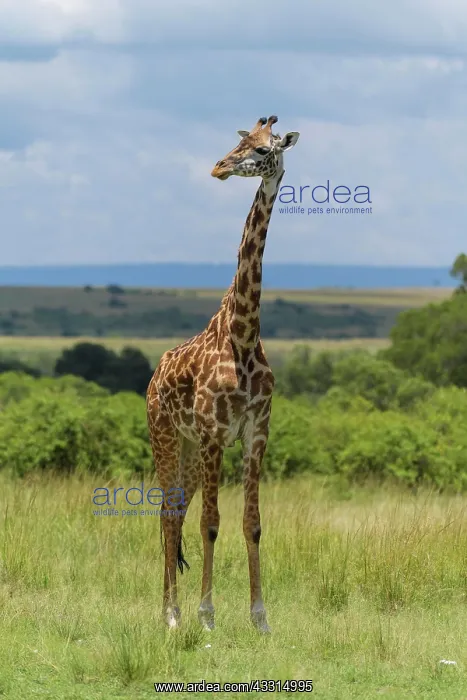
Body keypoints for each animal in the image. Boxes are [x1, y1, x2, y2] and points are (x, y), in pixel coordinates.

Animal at [146, 115, 300, 633]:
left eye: (262, 149)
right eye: (240, 142)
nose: (218, 167)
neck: (244, 333)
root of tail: (153, 377)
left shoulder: (256, 430)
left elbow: (252, 523)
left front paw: (260, 619)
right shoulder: (215, 430)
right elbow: (210, 524)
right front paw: (207, 615)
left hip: (190, 449)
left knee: (175, 510)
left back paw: (171, 610)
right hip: (167, 437)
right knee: (168, 514)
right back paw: (171, 615)